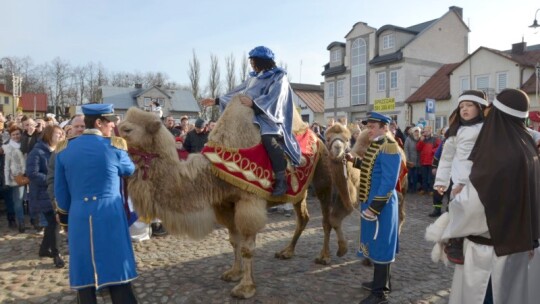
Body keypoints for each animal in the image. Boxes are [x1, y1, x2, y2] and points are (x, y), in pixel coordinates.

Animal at [117, 95, 350, 300]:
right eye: (121, 126)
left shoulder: (249, 201)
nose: (113, 142)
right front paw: (233, 273)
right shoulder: (225, 204)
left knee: (326, 218)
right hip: (298, 192)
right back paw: (287, 251)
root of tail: (318, 138)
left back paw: (326, 255)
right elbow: (233, 241)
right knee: (303, 217)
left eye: (127, 130)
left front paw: (245, 288)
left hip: (322, 179)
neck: (212, 172)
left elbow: (247, 247)